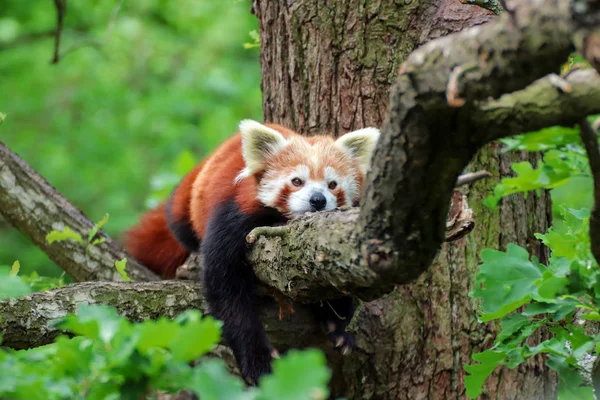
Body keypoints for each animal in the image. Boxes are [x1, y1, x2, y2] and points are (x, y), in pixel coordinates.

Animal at [124, 119, 380, 384]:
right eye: (296, 181)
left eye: (332, 185)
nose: (318, 200)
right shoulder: (235, 217)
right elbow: (226, 290)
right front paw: (257, 360)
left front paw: (339, 322)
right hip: (184, 205)